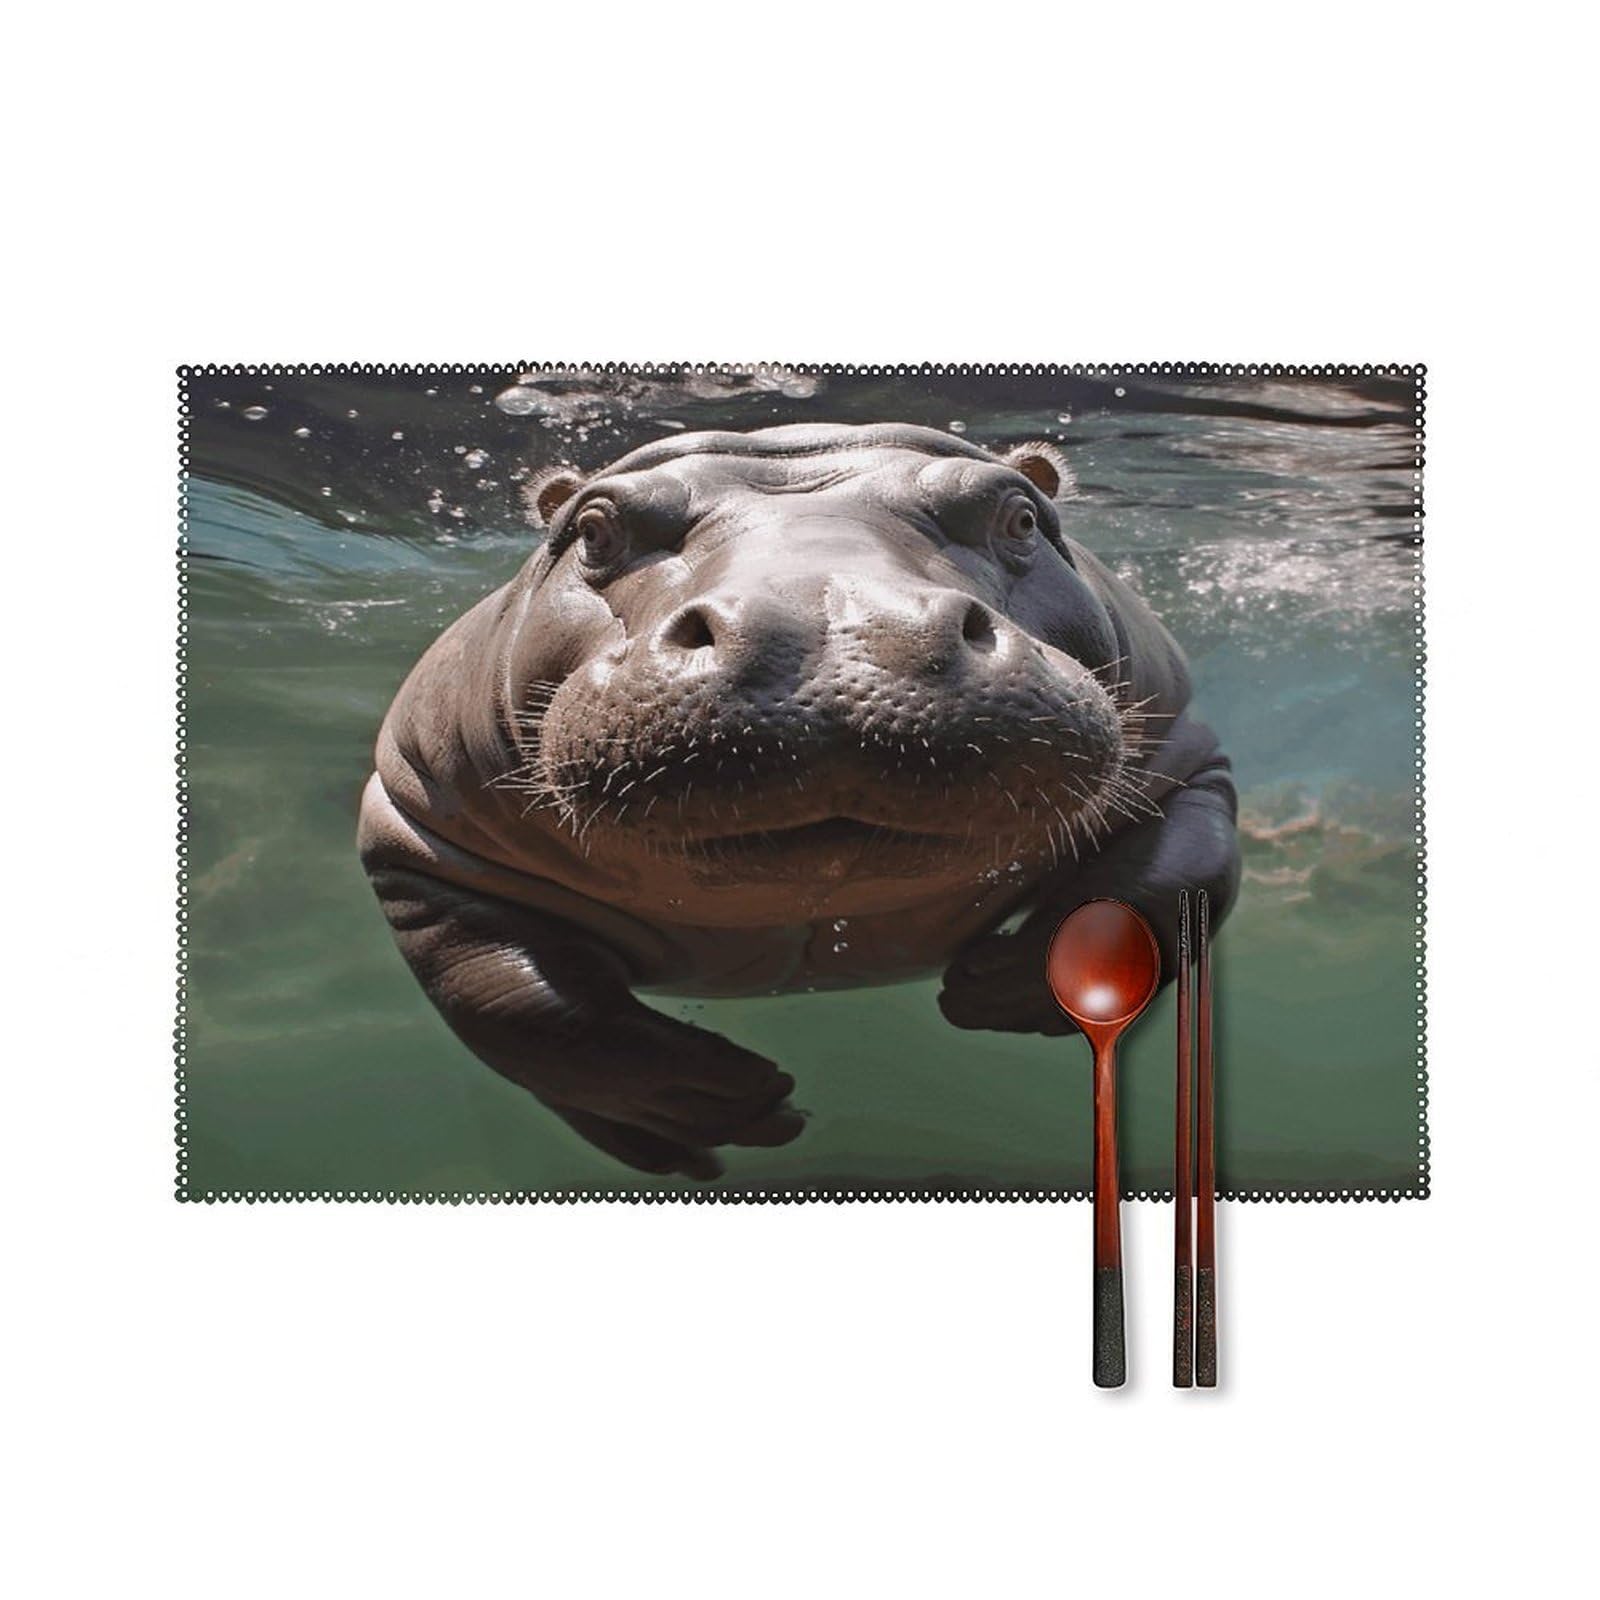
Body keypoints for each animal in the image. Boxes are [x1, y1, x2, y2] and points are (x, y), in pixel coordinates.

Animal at [358, 423, 1239, 1178]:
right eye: (597, 531)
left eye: (1020, 516)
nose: (827, 622)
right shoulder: (417, 836)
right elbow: (515, 1004)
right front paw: (728, 1102)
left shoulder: (1188, 766)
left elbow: (1173, 880)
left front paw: (998, 988)